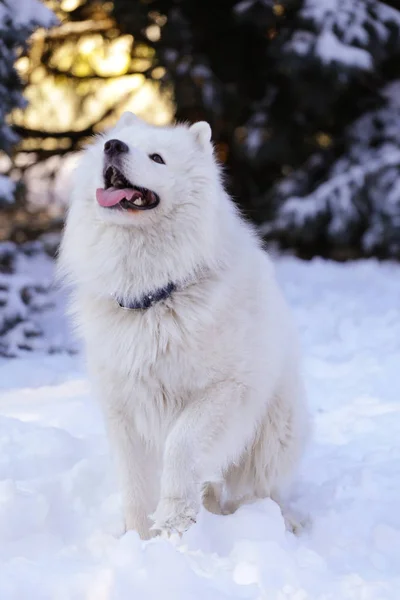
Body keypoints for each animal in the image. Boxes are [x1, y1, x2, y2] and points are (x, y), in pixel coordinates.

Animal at [58, 111, 310, 540]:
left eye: (157, 158)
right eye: (117, 142)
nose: (113, 146)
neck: (153, 296)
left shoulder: (225, 392)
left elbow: (182, 445)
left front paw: (176, 518)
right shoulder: (123, 408)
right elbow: (135, 485)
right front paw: (139, 541)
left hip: (273, 435)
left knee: (258, 490)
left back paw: (275, 524)